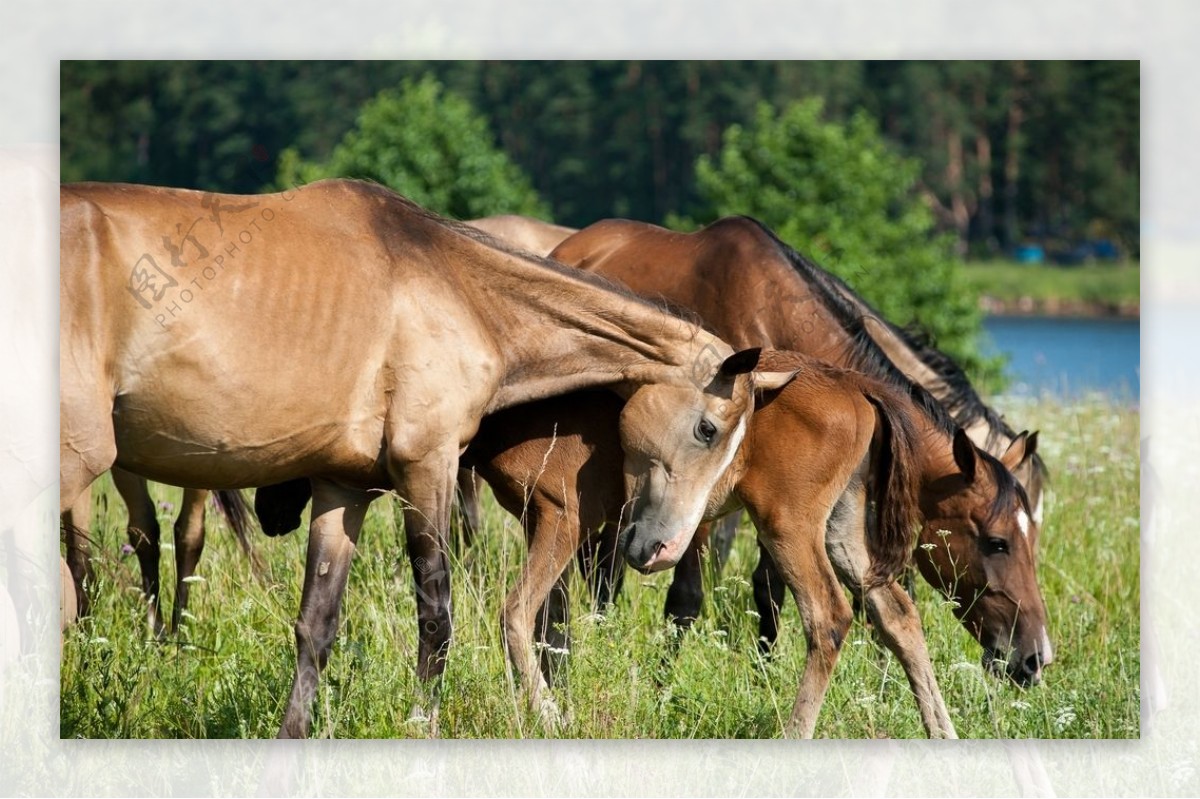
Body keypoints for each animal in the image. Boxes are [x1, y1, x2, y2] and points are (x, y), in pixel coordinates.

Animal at [60, 178, 782, 734]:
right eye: (709, 429)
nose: (659, 549)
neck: (460, 290)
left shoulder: (342, 487)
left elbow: (316, 627)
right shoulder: (426, 467)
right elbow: (436, 617)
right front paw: (421, 722)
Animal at [549, 215, 1056, 686]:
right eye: (997, 542)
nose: (1034, 657)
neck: (775, 324)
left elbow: (770, 589)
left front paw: (765, 673)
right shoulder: (693, 496)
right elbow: (687, 597)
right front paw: (663, 683)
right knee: (601, 561)